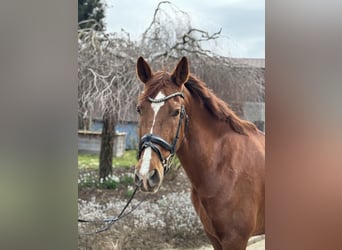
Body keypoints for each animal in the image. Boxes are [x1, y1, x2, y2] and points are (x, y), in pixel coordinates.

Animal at [134, 57, 264, 250]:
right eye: (139, 109)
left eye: (176, 112)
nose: (145, 175)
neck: (223, 165)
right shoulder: (214, 237)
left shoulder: (236, 239)